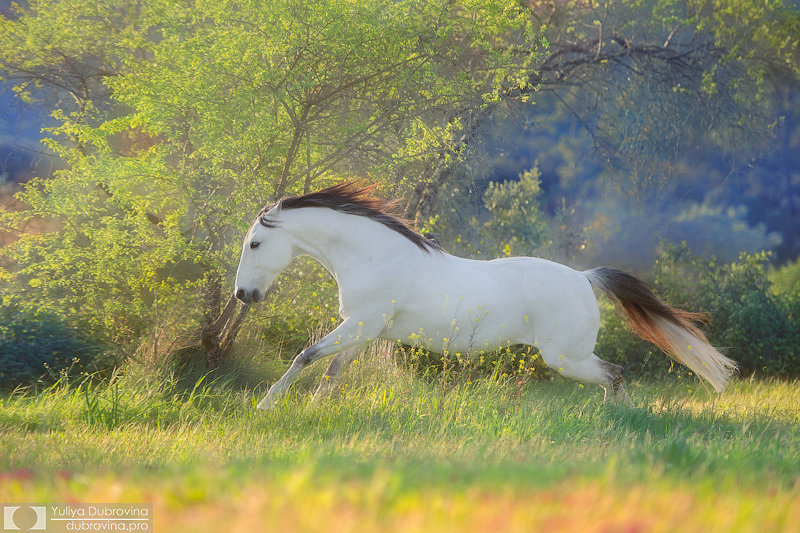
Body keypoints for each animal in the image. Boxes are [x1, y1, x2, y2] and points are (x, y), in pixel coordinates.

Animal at [233, 182, 736, 408]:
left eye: (254, 244)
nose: (243, 295)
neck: (376, 255)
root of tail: (585, 277)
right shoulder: (364, 329)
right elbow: (331, 371)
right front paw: (313, 410)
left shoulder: (360, 324)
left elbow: (306, 356)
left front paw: (265, 406)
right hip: (570, 356)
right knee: (614, 375)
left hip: (566, 358)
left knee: (614, 374)